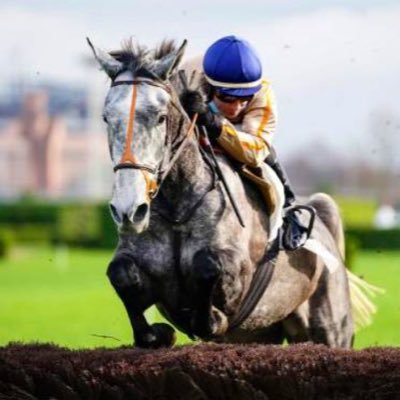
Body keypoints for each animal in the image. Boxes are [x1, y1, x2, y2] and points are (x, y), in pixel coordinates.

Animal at [87, 38, 372, 350]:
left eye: (160, 118)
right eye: (106, 118)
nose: (128, 210)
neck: (177, 207)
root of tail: (323, 224)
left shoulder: (236, 274)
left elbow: (208, 268)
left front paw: (209, 320)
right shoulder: (135, 261)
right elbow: (120, 274)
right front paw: (158, 334)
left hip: (329, 328)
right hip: (262, 332)